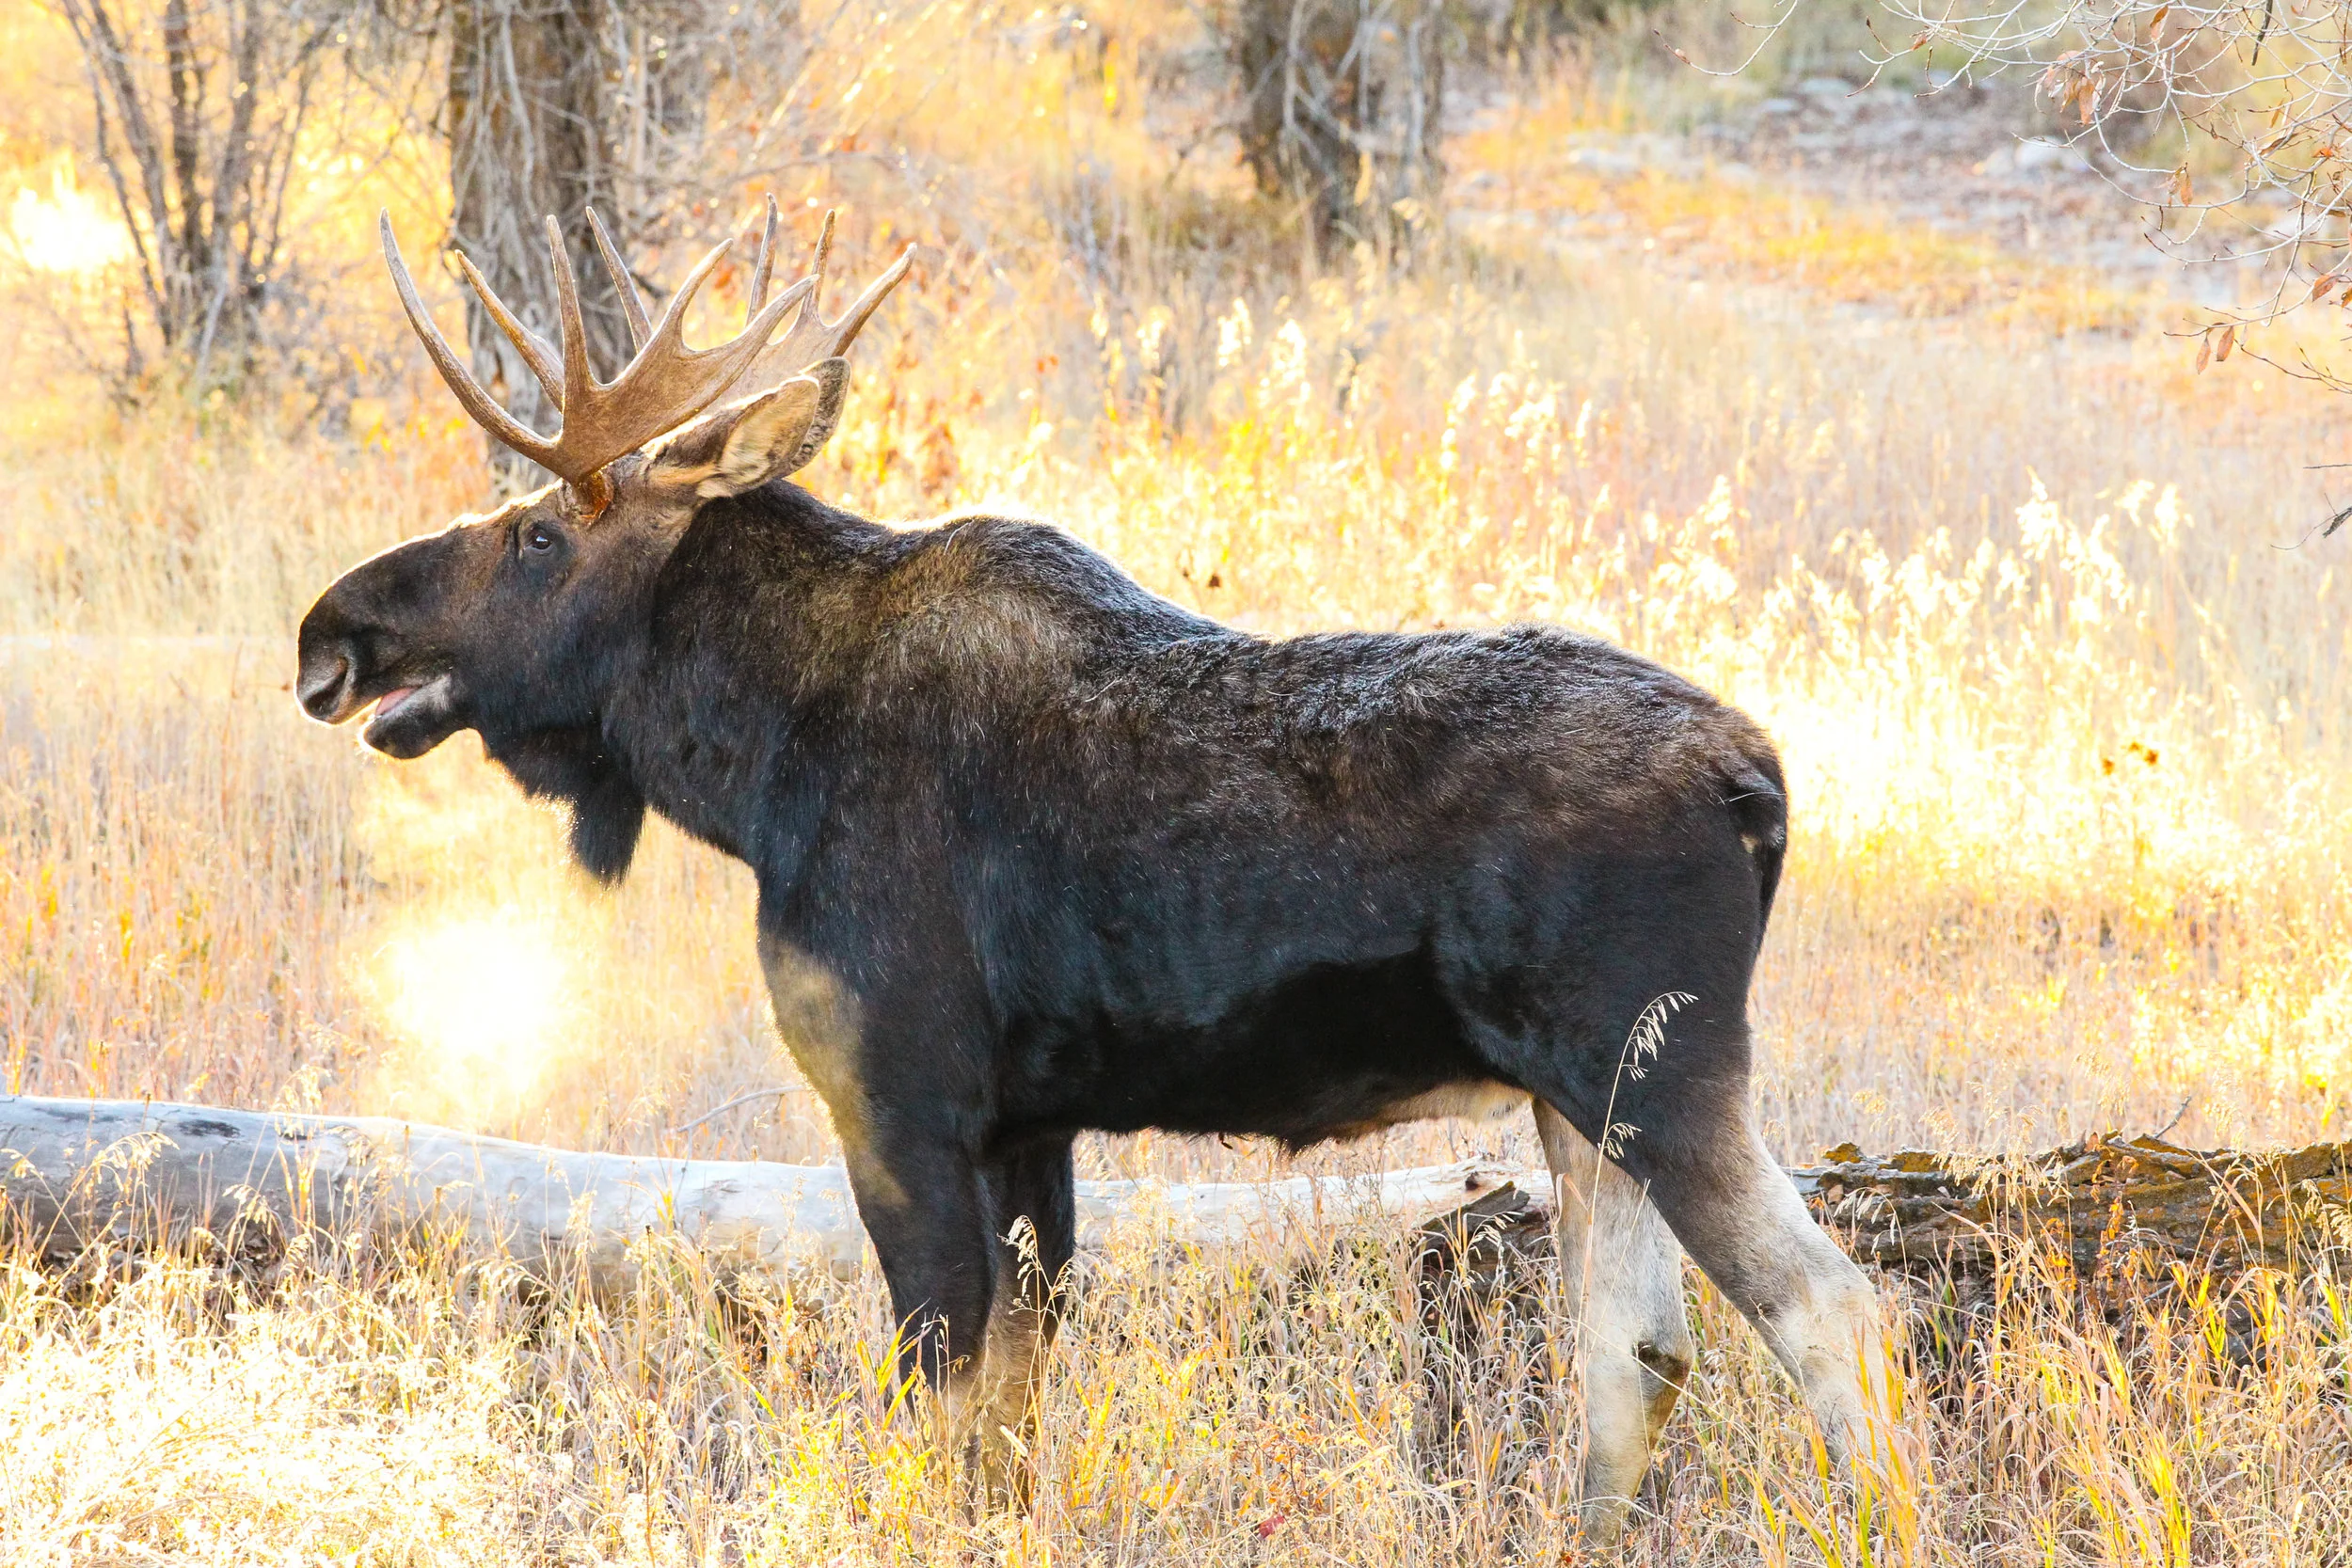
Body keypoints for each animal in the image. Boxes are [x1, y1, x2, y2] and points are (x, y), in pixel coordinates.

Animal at [296, 200, 1903, 1543]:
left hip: (1657, 1066)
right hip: (1584, 1104)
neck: (752, 766)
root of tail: (1760, 780)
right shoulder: (1031, 1124)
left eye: (536, 533)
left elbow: (938, 1396)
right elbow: (1010, 1418)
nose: (332, 629)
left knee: (1835, 1309)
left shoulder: (900, 1098)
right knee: (1641, 1349)